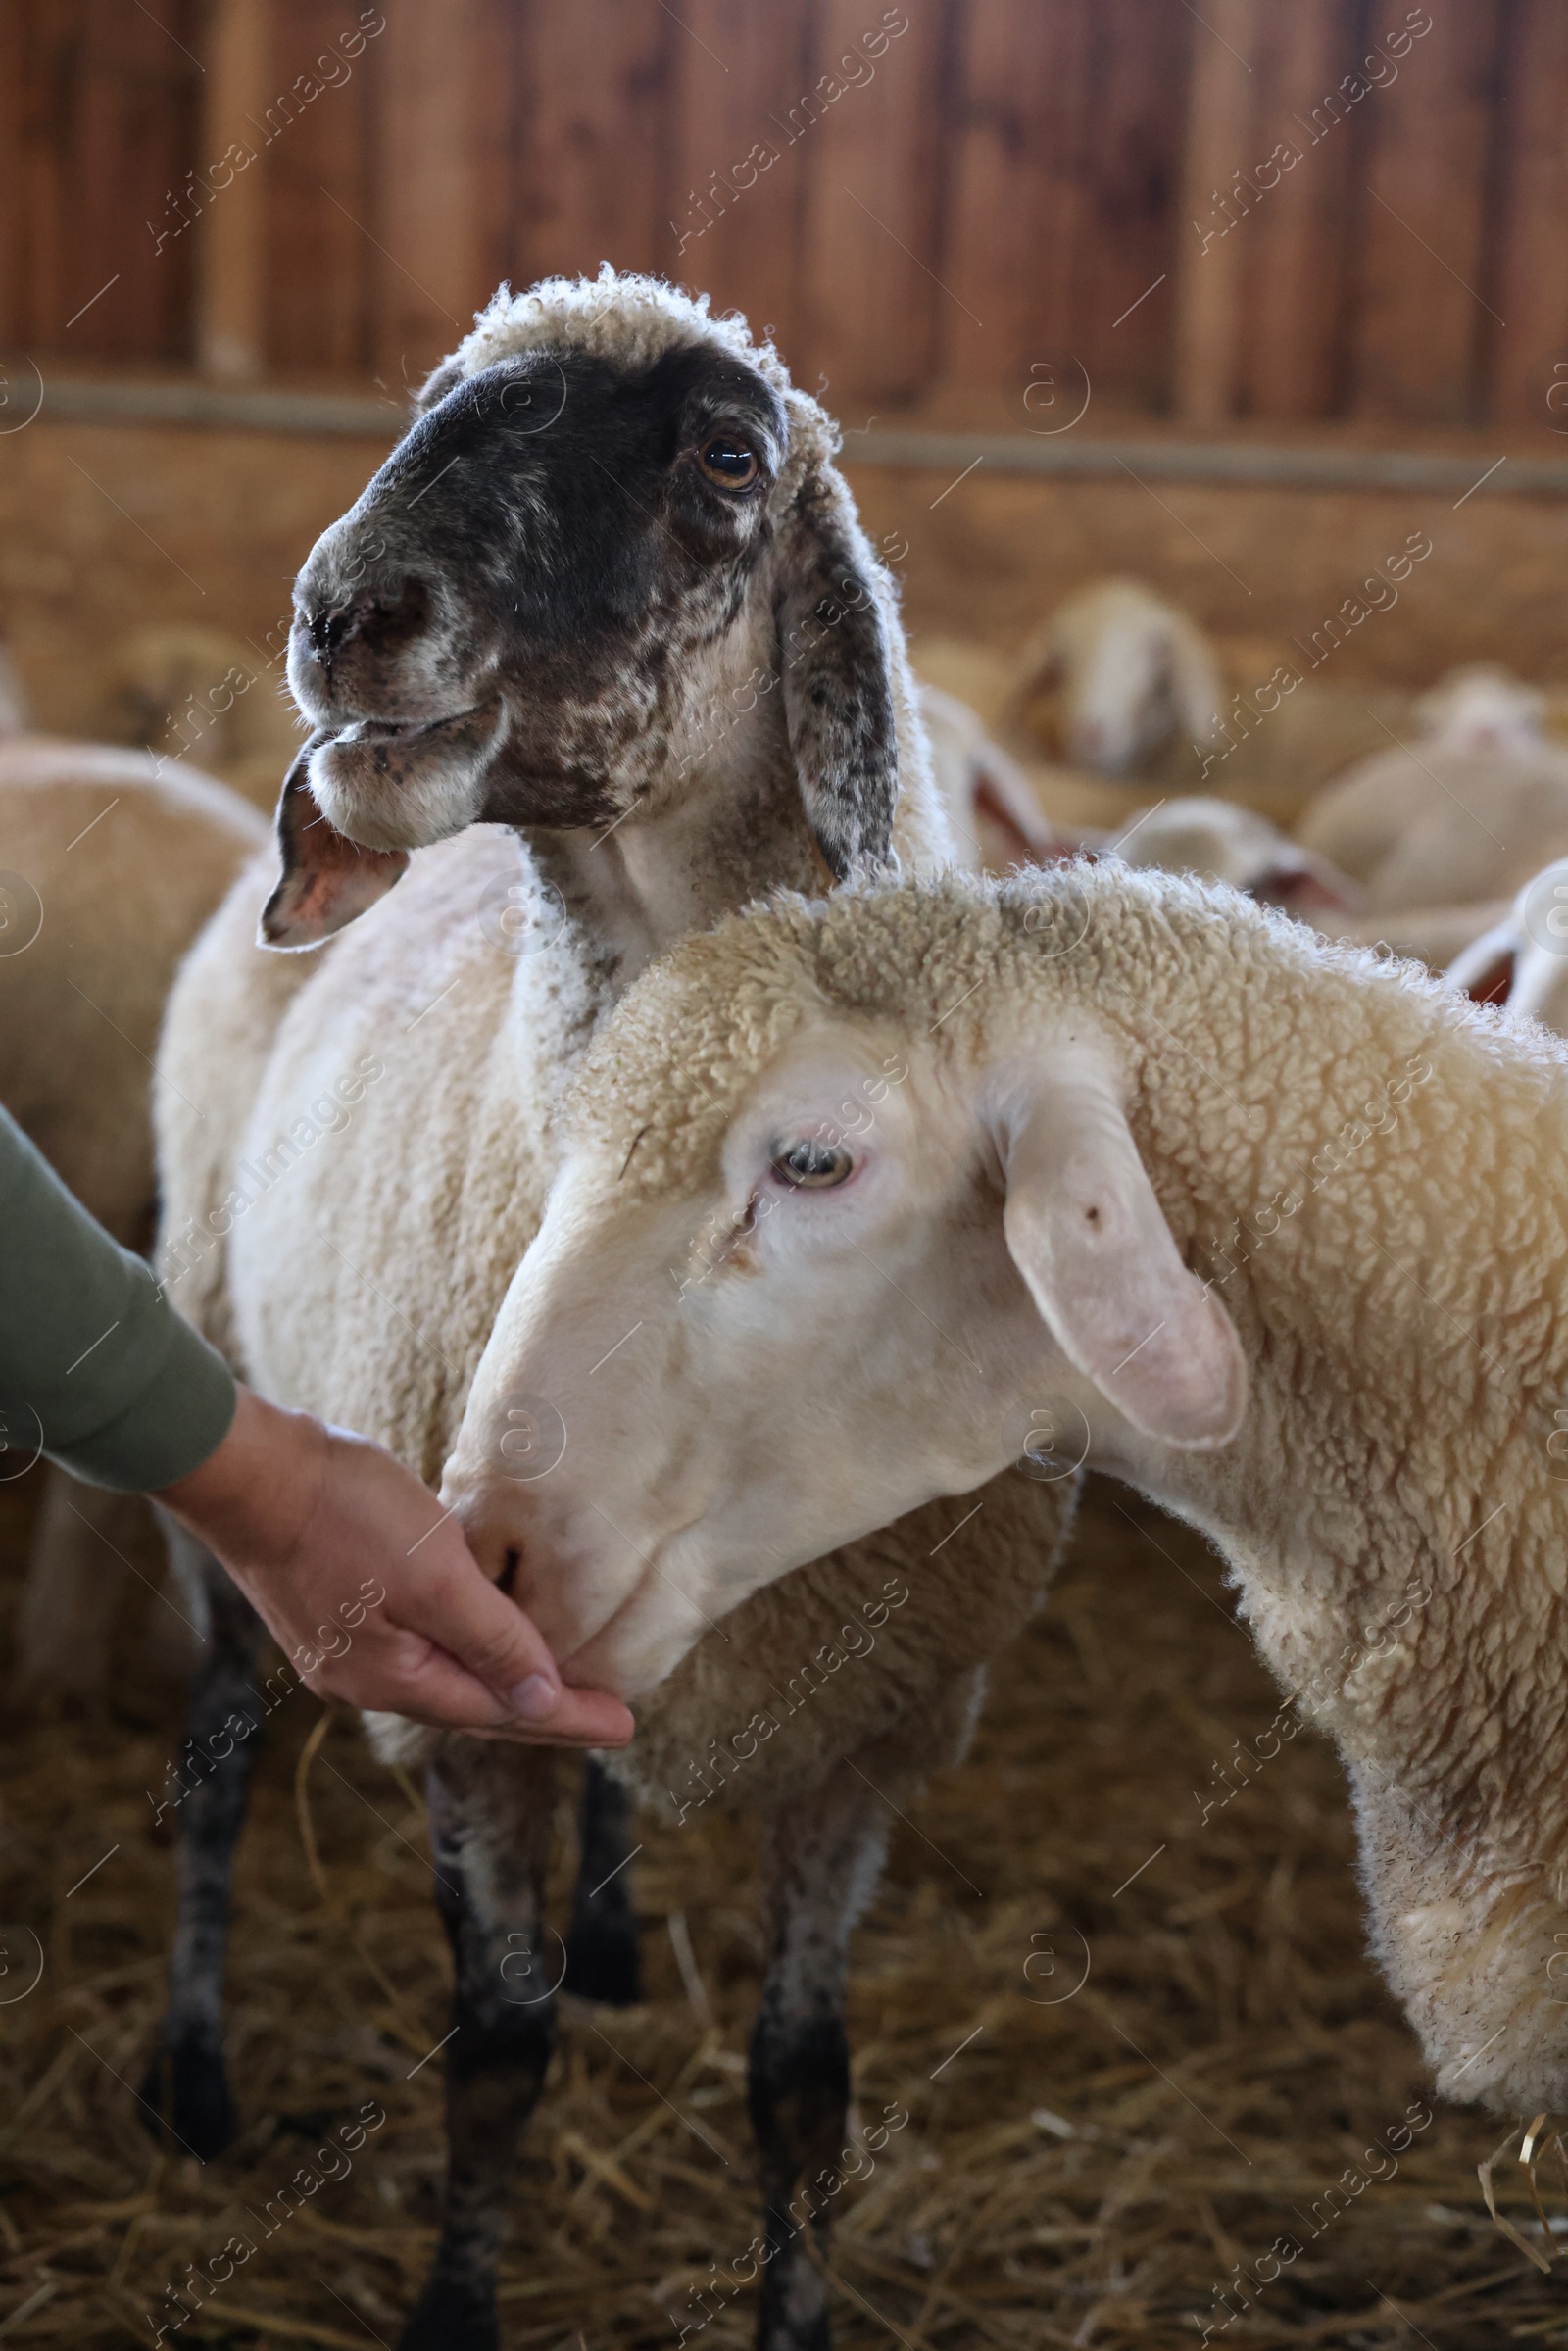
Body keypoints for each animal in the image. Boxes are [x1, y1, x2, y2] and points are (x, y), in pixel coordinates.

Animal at [150, 267, 1081, 2341]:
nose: (343, 613)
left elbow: (802, 2084)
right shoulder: (449, 1697)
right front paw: (454, 2304)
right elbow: (494, 2056)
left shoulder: (878, 1721)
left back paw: (609, 1927)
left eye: (727, 457)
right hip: (217, 1378)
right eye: (429, 409)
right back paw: (190, 2067)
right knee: (221, 1750)